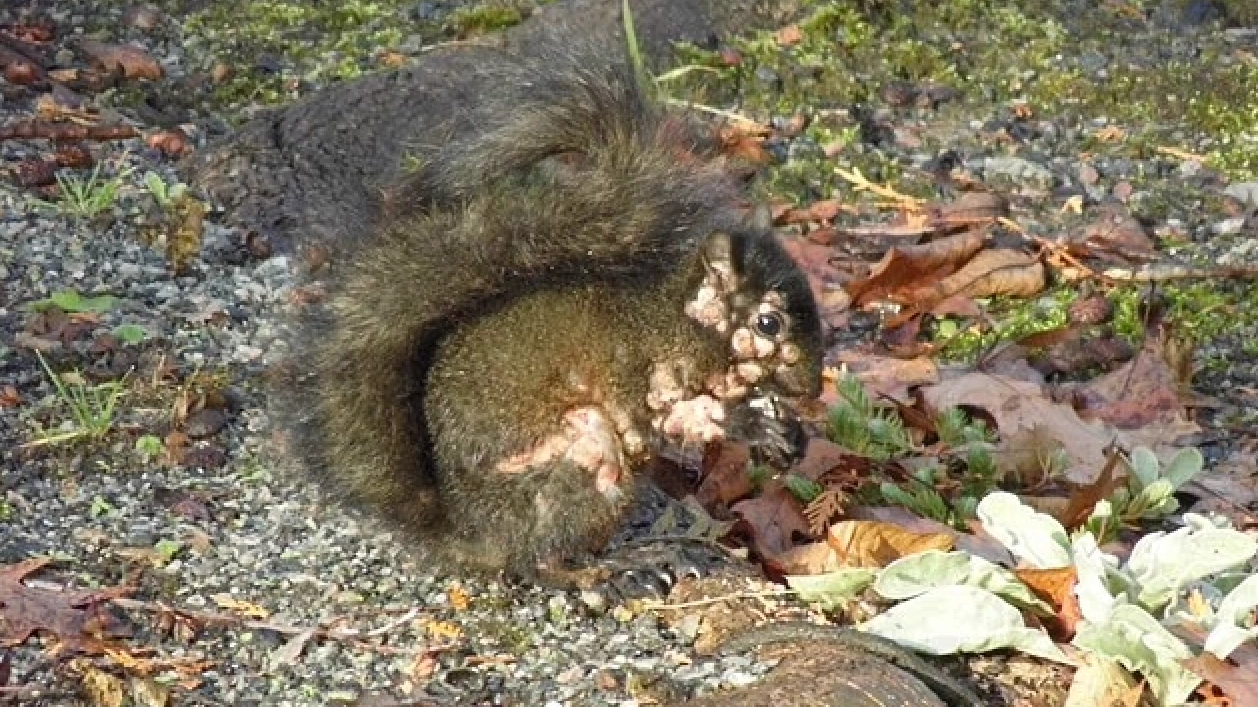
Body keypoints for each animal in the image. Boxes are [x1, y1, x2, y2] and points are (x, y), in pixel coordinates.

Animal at [279, 38, 825, 587]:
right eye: (769, 323)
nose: (814, 390)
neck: (684, 323)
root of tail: (471, 535)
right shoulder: (653, 376)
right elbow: (681, 421)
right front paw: (751, 425)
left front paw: (788, 434)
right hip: (583, 459)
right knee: (542, 559)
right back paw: (616, 566)